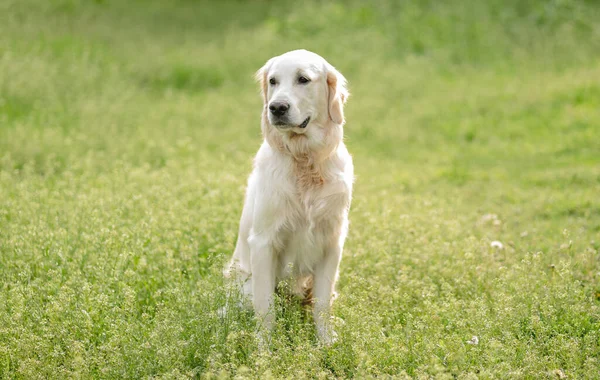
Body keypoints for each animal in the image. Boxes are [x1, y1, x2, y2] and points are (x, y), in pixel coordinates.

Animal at [227, 49, 354, 344]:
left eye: (303, 79)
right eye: (273, 81)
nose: (276, 108)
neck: (304, 160)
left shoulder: (332, 242)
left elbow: (322, 304)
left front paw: (326, 343)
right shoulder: (263, 242)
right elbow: (265, 308)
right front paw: (264, 349)